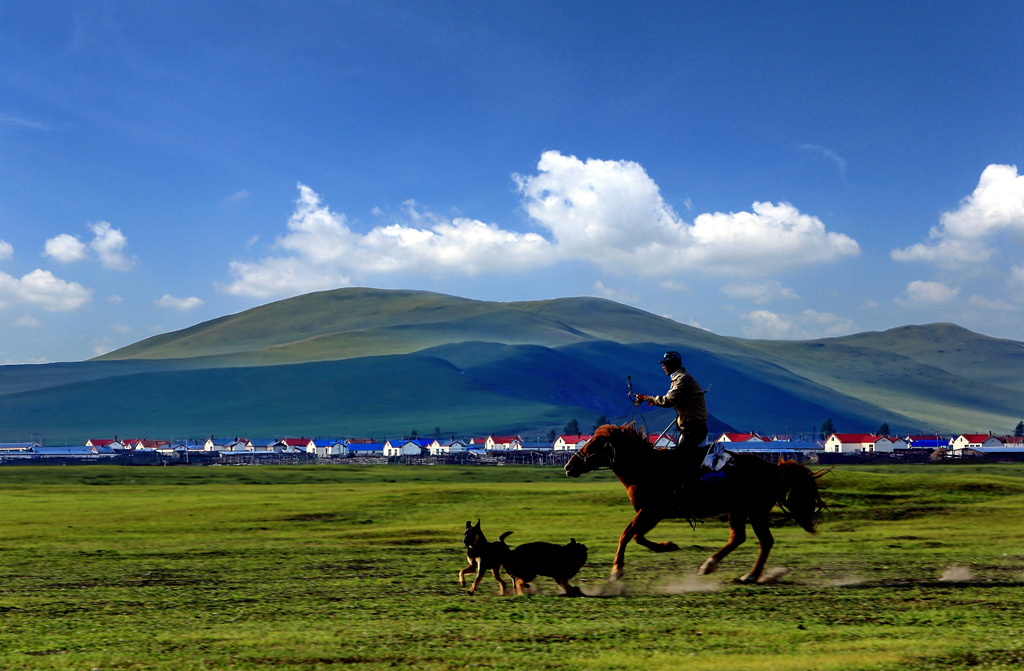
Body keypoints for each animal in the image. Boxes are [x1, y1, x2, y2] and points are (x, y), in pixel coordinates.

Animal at [565, 426, 827, 581]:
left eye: (592, 445)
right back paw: (711, 565)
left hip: (753, 511)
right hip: (739, 511)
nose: (568, 466)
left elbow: (627, 534)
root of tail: (774, 469)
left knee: (764, 541)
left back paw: (749, 575)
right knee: (740, 537)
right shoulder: (651, 513)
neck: (646, 468)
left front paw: (617, 569)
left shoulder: (651, 511)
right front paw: (667, 546)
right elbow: (637, 536)